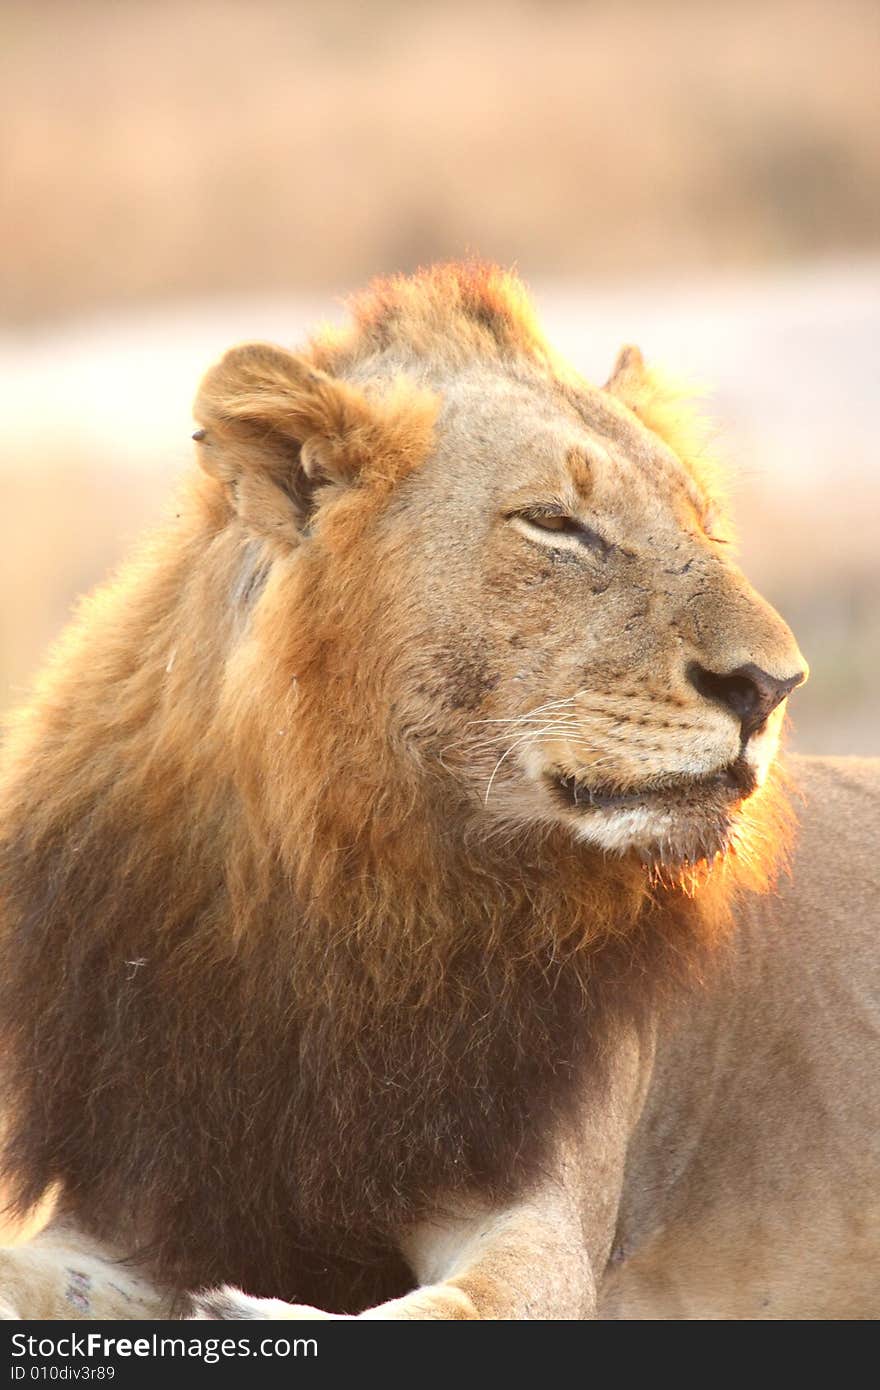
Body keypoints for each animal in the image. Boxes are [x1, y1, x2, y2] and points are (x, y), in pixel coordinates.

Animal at [0, 262, 873, 1323]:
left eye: (709, 527)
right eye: (557, 524)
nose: (773, 686)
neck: (344, 880)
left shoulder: (544, 1225)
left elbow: (446, 1310)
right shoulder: (134, 1199)